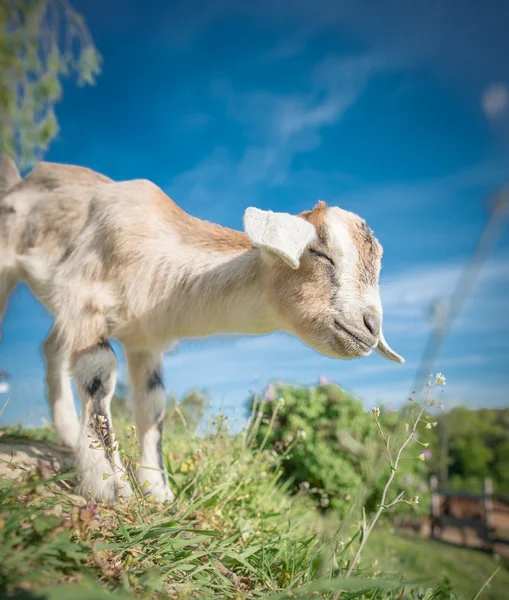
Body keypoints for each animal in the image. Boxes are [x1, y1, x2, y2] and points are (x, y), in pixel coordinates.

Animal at [0, 154, 404, 502]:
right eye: (320, 252)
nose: (370, 326)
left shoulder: (144, 338)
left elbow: (153, 401)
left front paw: (158, 491)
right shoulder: (84, 297)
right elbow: (99, 373)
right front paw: (110, 484)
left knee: (52, 348)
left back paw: (68, 435)